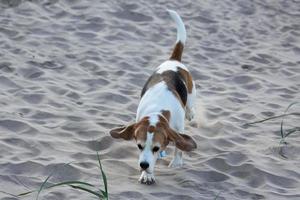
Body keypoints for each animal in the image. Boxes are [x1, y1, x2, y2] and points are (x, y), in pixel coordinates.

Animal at [110, 9, 197, 184]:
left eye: (156, 148)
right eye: (139, 146)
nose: (143, 165)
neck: (158, 111)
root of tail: (173, 60)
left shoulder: (178, 128)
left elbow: (179, 145)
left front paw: (176, 162)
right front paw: (147, 175)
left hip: (191, 93)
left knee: (191, 105)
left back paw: (191, 113)